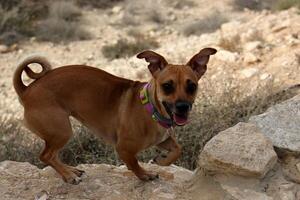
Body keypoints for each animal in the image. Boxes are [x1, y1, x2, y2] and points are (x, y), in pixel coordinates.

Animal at [12, 47, 217, 184]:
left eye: (192, 86)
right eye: (167, 86)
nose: (183, 107)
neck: (151, 109)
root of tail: (26, 90)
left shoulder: (163, 140)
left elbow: (177, 149)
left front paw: (162, 161)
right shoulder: (124, 149)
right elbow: (134, 163)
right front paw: (145, 175)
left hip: (58, 133)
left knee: (52, 156)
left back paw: (70, 170)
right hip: (61, 131)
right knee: (46, 156)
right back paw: (68, 176)